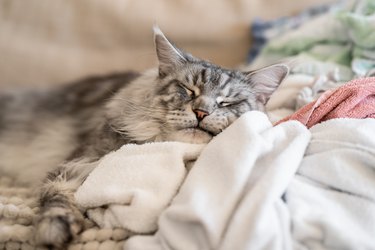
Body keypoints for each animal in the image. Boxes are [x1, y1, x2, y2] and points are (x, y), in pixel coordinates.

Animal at [0, 27, 290, 248]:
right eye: (188, 90)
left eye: (227, 102)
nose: (201, 112)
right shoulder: (71, 167)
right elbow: (55, 199)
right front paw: (53, 231)